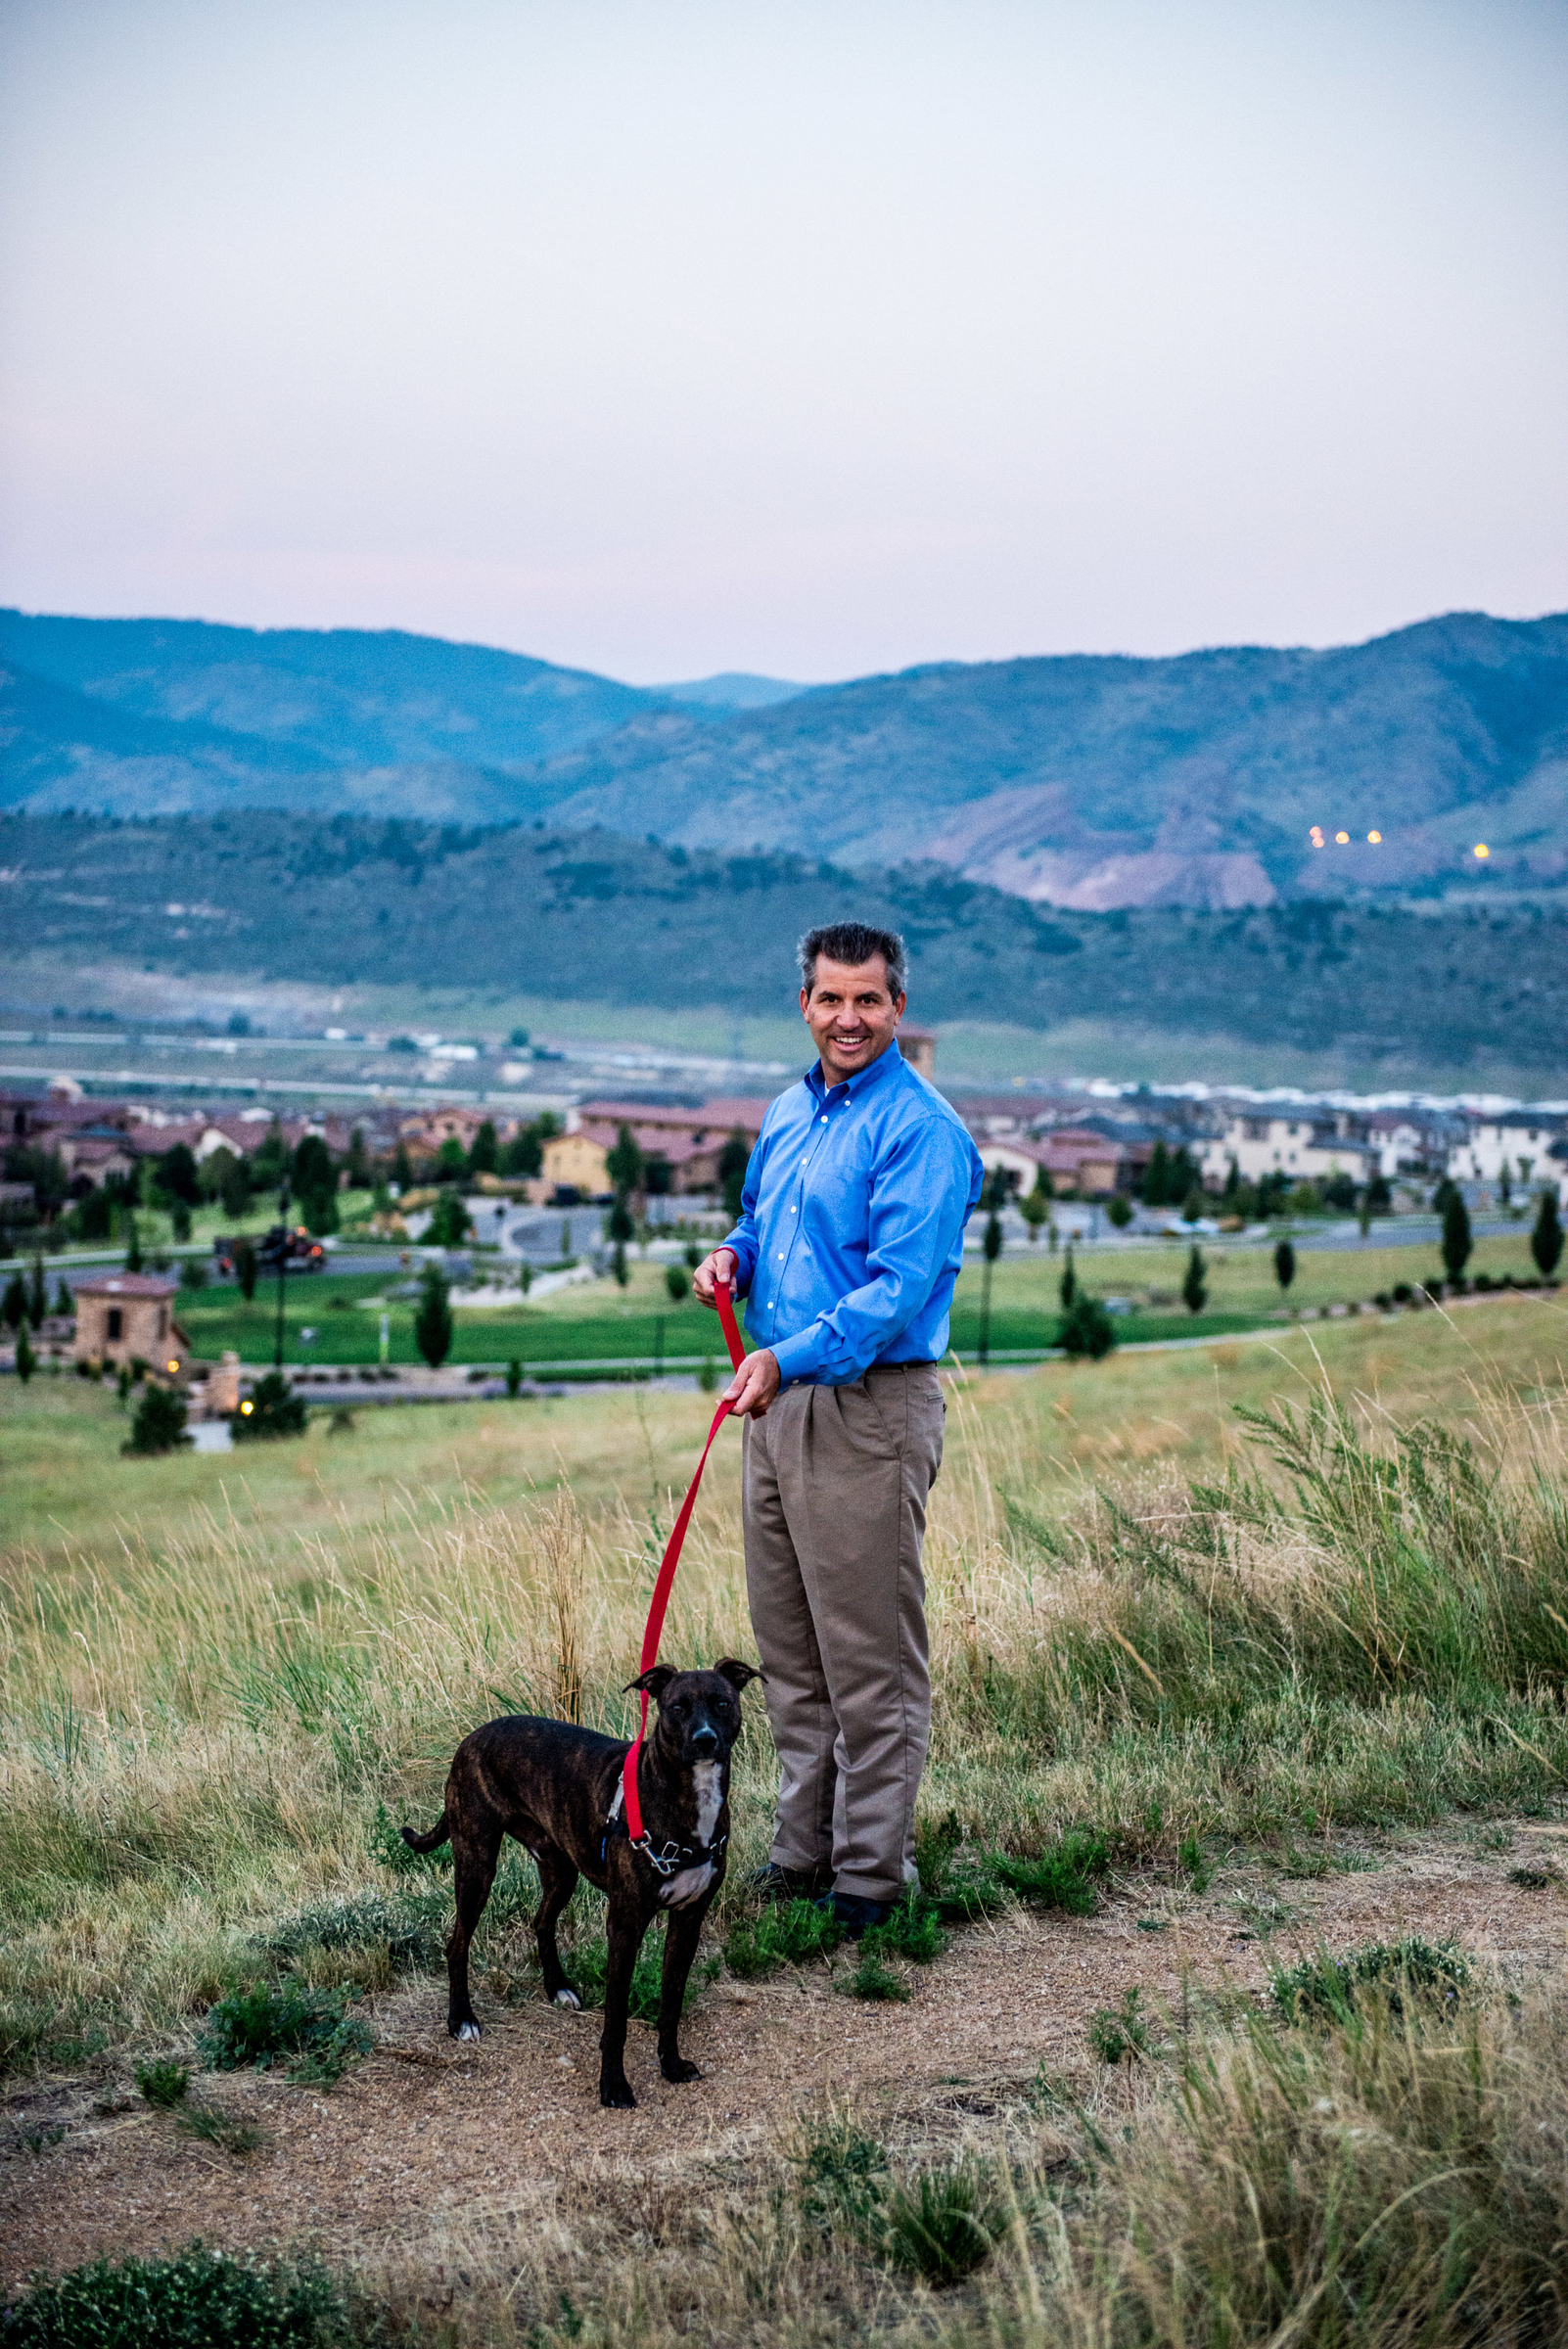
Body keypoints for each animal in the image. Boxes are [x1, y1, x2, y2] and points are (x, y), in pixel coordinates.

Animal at [398, 1653, 761, 2114]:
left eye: (721, 1703)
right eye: (677, 1707)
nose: (705, 1740)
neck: (686, 1796)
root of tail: (470, 1738)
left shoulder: (688, 1919)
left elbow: (671, 2002)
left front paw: (671, 2064)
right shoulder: (625, 1925)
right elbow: (616, 2019)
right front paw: (614, 2086)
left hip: (560, 1869)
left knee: (541, 1921)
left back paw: (558, 1987)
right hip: (477, 1864)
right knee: (457, 1942)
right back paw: (461, 2019)